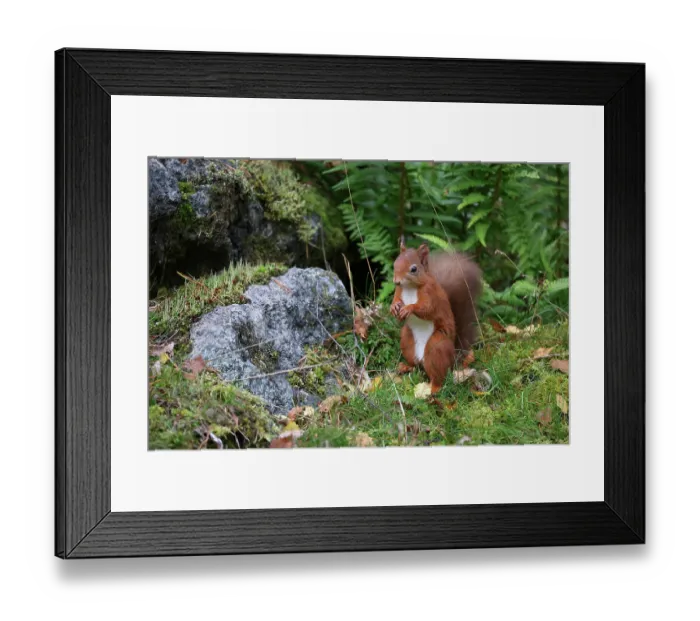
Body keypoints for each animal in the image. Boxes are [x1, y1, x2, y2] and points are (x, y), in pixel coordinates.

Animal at [390, 237, 482, 394]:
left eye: (413, 269)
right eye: (395, 263)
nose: (396, 281)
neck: (409, 288)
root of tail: (453, 358)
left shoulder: (431, 294)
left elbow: (426, 308)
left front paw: (409, 308)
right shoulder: (399, 291)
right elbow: (396, 300)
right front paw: (394, 307)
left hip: (436, 346)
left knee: (438, 376)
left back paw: (432, 389)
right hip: (407, 341)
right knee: (415, 364)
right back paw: (406, 366)